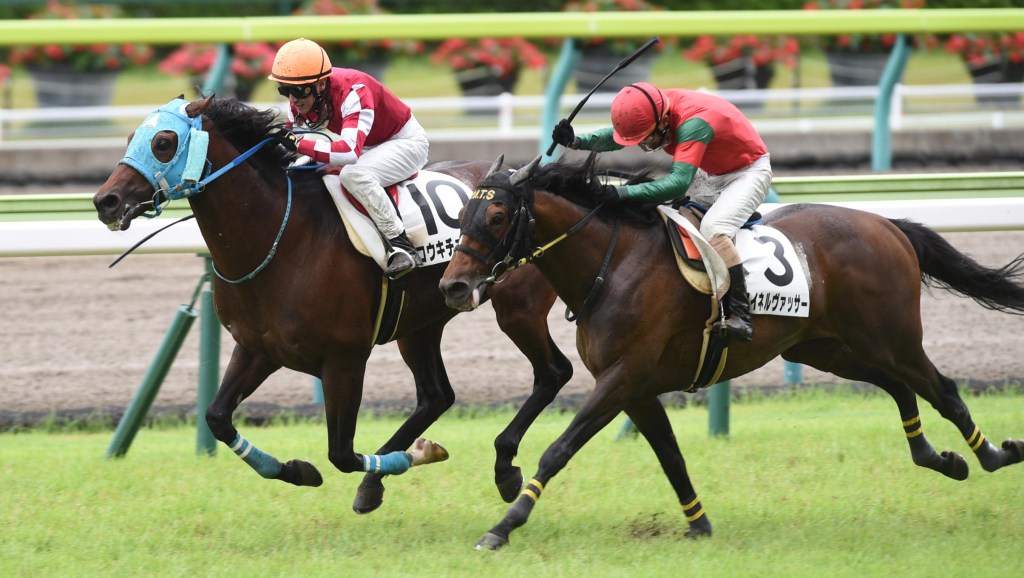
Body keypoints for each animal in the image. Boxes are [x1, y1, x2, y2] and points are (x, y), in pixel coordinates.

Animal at [92, 96, 574, 513]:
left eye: (163, 142)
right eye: (133, 136)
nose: (104, 201)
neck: (280, 237)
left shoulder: (344, 359)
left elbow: (341, 453)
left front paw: (418, 456)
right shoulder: (258, 348)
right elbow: (218, 418)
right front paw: (297, 470)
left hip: (517, 308)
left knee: (554, 372)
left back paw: (503, 467)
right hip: (420, 324)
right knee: (437, 396)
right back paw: (379, 481)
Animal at [439, 153, 1024, 550]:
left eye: (496, 219)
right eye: (461, 217)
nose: (452, 287)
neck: (614, 263)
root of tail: (888, 224)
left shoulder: (622, 376)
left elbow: (558, 450)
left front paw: (503, 526)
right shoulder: (635, 387)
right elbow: (670, 455)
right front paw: (698, 524)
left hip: (892, 337)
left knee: (943, 388)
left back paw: (994, 454)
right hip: (826, 347)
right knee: (900, 386)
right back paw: (938, 458)